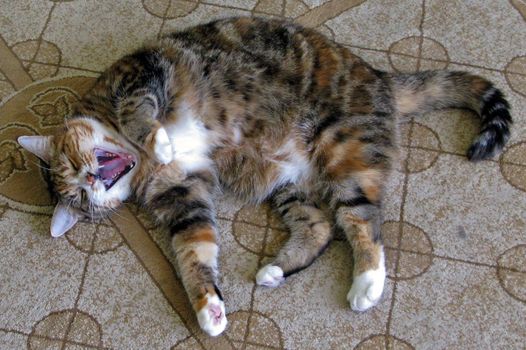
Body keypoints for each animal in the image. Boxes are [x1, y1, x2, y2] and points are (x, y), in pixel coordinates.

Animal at [17, 17, 516, 336]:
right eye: (79, 202)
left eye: (71, 167)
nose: (91, 182)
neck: (138, 162)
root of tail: (380, 77)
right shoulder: (184, 197)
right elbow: (194, 252)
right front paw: (208, 310)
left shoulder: (141, 74)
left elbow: (138, 111)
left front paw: (158, 139)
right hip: (290, 184)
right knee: (321, 227)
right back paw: (277, 269)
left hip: (342, 150)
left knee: (363, 223)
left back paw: (366, 285)